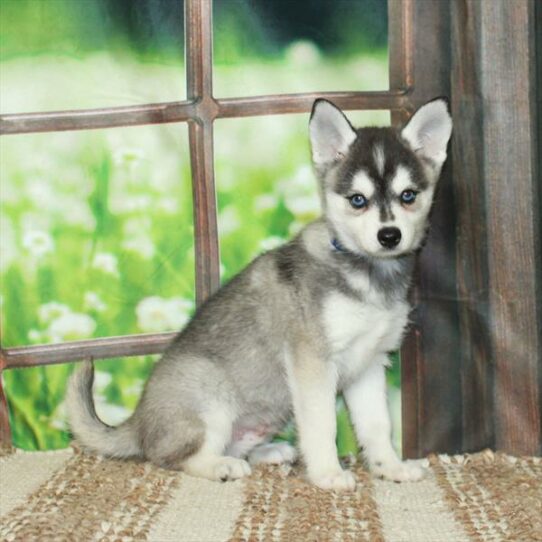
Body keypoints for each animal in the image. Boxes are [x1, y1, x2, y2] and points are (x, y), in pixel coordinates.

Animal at [70, 98, 456, 492]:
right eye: (357, 200)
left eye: (408, 195)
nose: (389, 235)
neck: (367, 273)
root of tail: (137, 422)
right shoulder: (312, 362)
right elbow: (323, 425)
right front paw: (328, 473)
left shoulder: (370, 364)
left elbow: (378, 426)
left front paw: (390, 467)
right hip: (211, 396)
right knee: (171, 457)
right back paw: (221, 466)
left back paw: (271, 452)